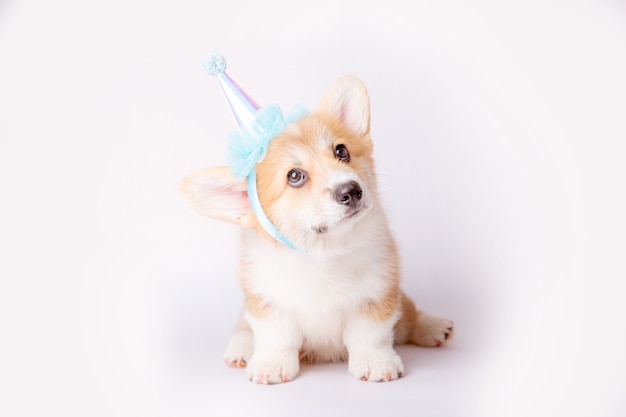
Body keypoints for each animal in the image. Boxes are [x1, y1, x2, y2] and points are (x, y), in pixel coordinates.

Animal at [178, 75, 450, 384]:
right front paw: (271, 365)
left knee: (408, 316)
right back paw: (241, 349)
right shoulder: (268, 303)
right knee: (243, 325)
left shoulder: (378, 294)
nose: (351, 191)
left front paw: (376, 362)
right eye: (295, 176)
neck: (322, 252)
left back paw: (435, 327)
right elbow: (276, 337)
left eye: (341, 151)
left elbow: (372, 335)